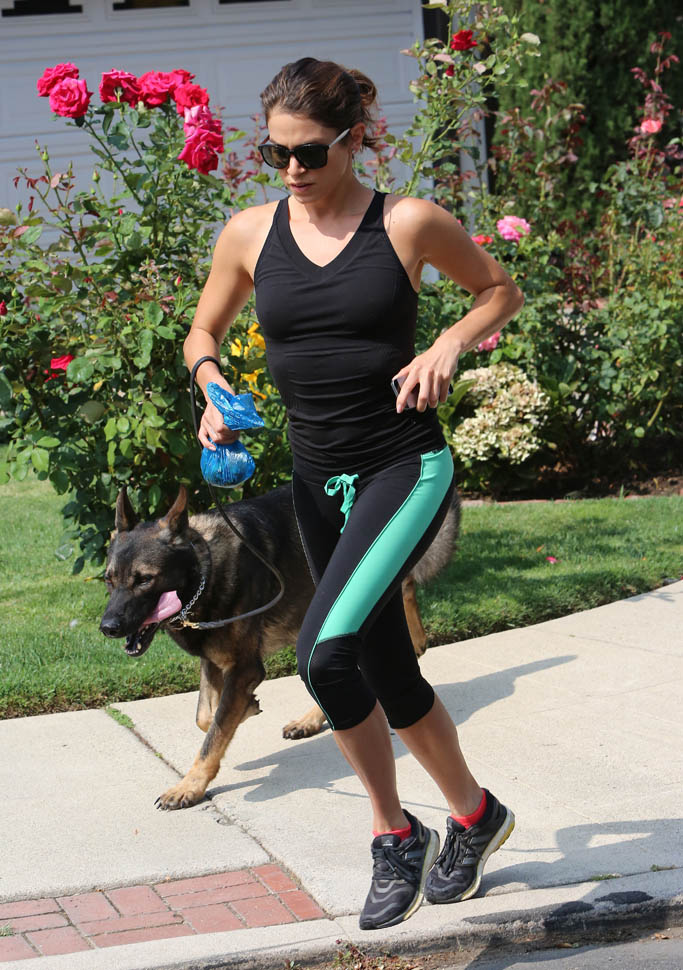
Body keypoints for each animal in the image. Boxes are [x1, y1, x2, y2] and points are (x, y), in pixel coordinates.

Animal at [100, 483, 460, 810]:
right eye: (109, 579)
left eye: (144, 579)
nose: (107, 627)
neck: (205, 568)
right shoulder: (214, 660)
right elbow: (206, 717)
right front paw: (245, 708)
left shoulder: (244, 668)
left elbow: (214, 732)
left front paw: (190, 786)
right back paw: (312, 718)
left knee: (404, 589)